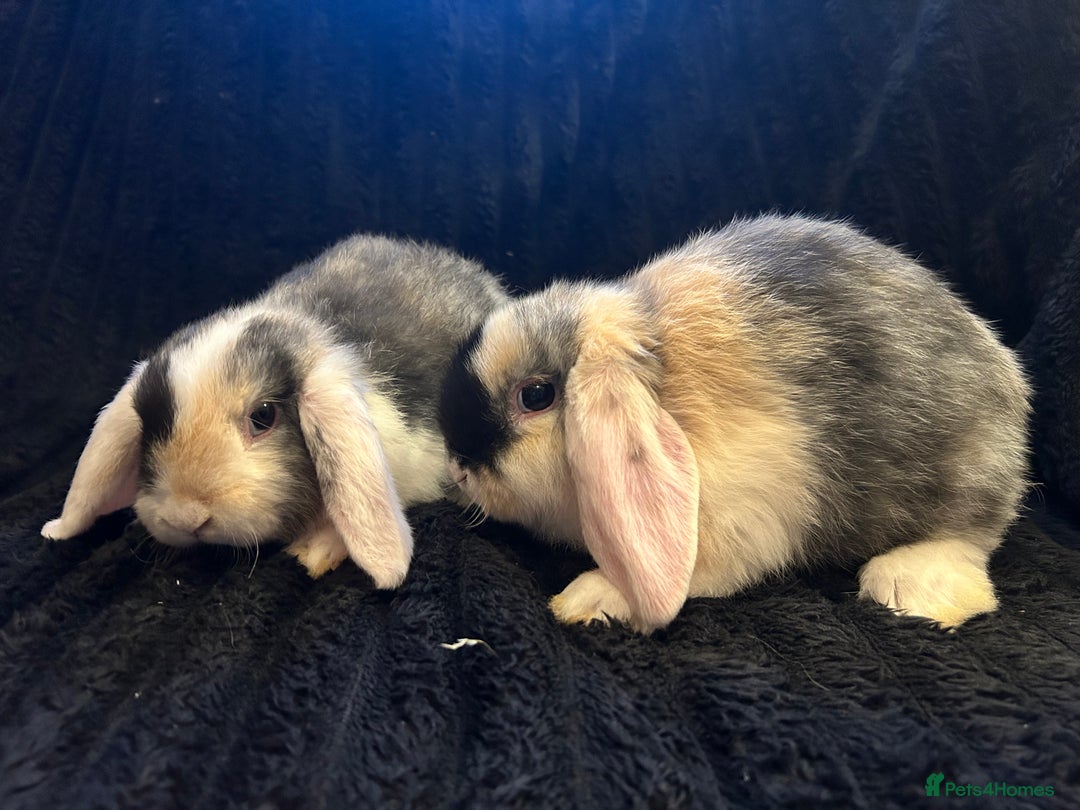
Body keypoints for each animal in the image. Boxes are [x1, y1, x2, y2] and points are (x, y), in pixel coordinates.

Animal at [438, 214, 1031, 632]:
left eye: (536, 395)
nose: (460, 468)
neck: (665, 389)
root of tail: (1007, 383)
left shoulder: (740, 519)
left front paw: (590, 598)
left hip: (962, 483)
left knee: (970, 540)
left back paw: (907, 588)